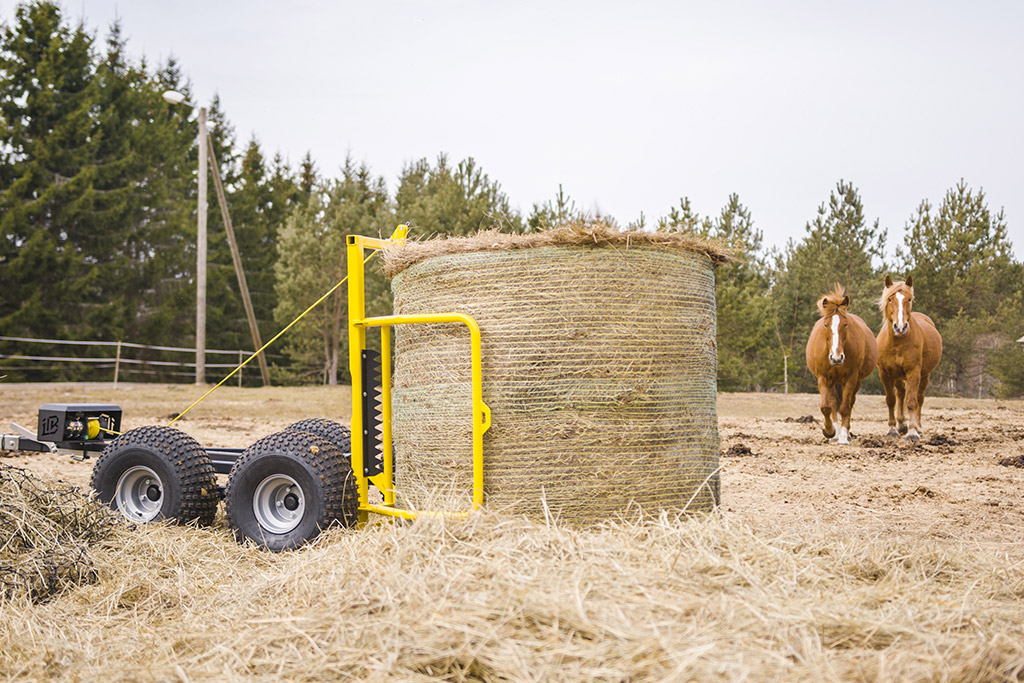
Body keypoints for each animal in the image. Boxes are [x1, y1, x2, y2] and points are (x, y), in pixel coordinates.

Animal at [802, 286, 876, 446]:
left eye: (845, 324)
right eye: (826, 324)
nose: (836, 358)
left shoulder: (851, 379)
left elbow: (845, 408)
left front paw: (843, 437)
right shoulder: (823, 378)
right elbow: (826, 407)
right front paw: (829, 431)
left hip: (855, 382)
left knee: (848, 404)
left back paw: (845, 434)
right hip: (833, 382)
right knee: (834, 404)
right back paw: (834, 434)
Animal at [880, 276, 942, 444]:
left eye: (909, 299)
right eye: (890, 299)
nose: (900, 327)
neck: (897, 342)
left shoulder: (913, 373)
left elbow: (912, 401)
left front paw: (913, 432)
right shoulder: (885, 373)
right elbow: (891, 400)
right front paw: (892, 429)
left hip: (925, 375)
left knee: (919, 398)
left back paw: (917, 427)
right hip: (897, 375)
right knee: (900, 394)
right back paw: (901, 425)